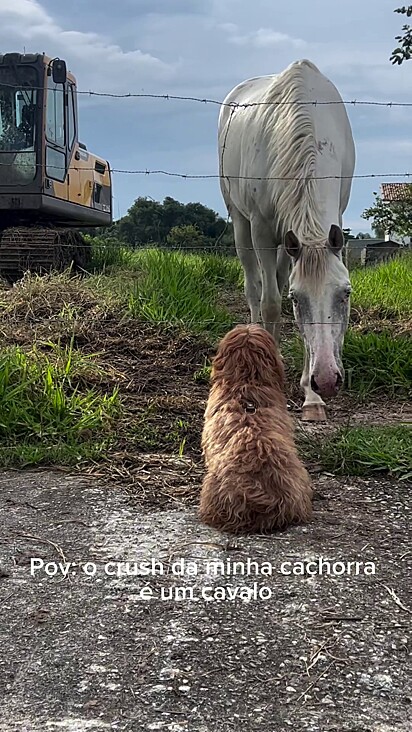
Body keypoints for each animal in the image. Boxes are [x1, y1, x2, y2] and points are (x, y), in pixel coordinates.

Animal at [219, 60, 358, 420]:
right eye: (297, 299)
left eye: (345, 294)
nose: (327, 380)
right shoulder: (262, 229)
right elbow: (271, 301)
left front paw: (312, 397)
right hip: (241, 222)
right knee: (255, 288)